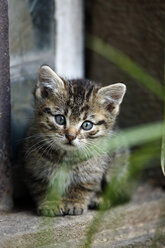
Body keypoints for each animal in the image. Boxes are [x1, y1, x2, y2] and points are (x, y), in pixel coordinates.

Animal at [22, 65, 126, 216]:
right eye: (60, 119)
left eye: (87, 125)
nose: (70, 136)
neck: (66, 156)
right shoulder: (35, 169)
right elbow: (43, 186)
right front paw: (50, 203)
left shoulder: (92, 171)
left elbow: (82, 185)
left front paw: (74, 202)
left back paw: (100, 199)